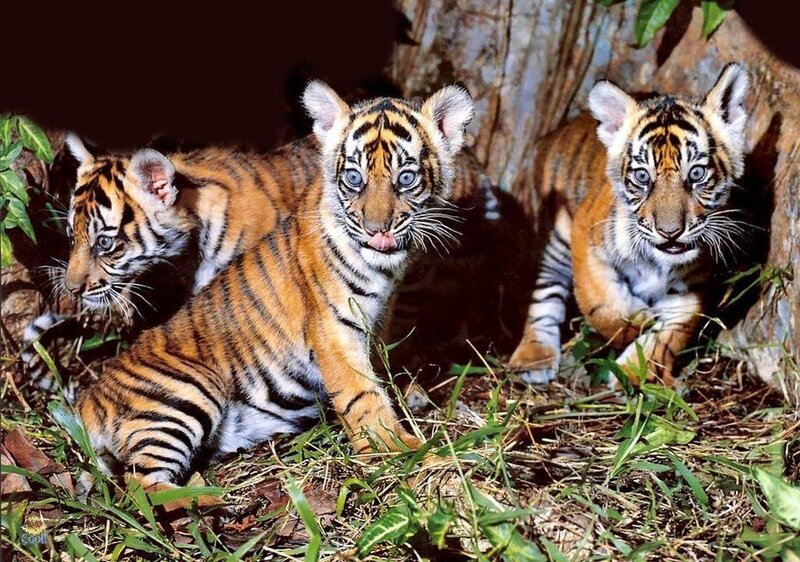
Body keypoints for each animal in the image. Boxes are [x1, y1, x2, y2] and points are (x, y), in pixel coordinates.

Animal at [75, 81, 475, 487]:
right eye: (354, 178)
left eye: (405, 179)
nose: (377, 230)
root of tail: (85, 402)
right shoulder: (334, 328)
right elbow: (361, 395)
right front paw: (402, 453)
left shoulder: (379, 318)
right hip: (187, 391)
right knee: (142, 485)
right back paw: (210, 497)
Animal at [507, 63, 750, 386]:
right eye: (643, 176)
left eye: (697, 174)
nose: (670, 233)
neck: (659, 262)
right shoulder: (584, 236)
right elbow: (603, 305)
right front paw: (640, 320)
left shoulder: (693, 288)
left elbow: (670, 337)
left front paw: (635, 373)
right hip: (557, 235)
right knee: (544, 290)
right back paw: (533, 358)